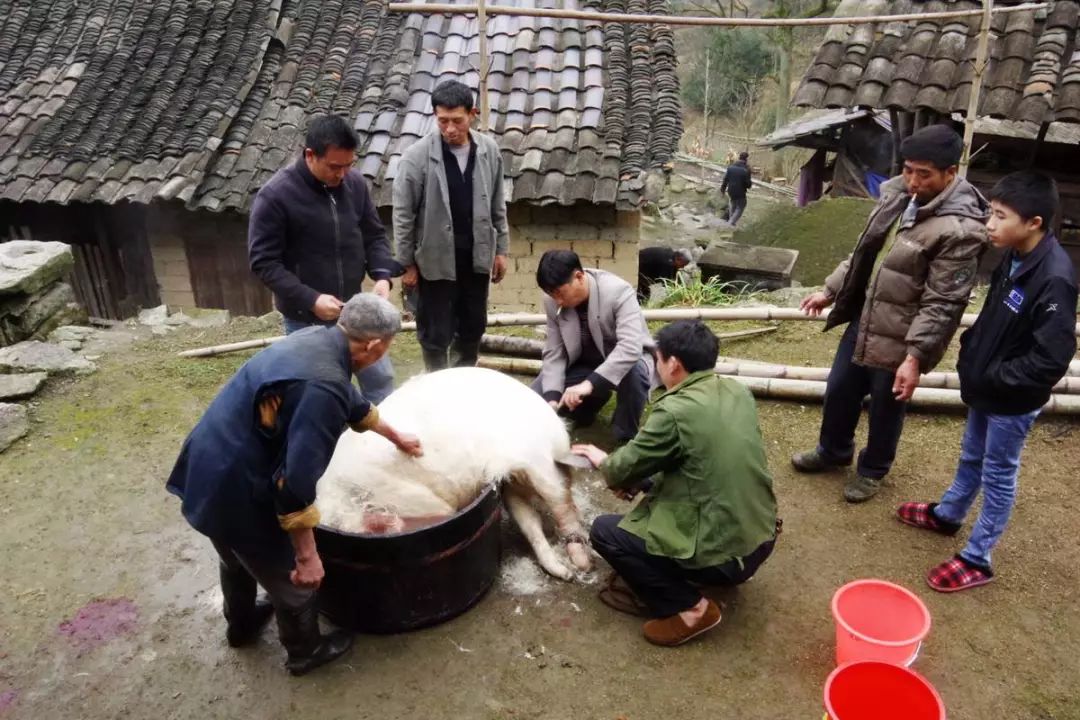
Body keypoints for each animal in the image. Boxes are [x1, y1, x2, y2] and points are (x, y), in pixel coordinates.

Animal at [315, 369, 596, 582]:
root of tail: (558, 430)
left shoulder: (416, 501)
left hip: (537, 462)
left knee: (561, 501)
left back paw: (581, 566)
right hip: (513, 480)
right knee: (531, 519)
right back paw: (565, 572)